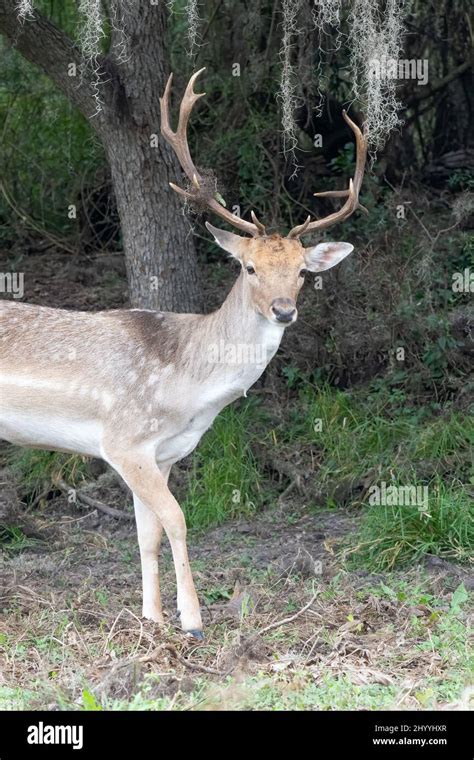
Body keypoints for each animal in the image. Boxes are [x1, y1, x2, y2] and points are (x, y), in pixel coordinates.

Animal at [0, 68, 368, 640]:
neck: (189, 392)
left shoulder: (164, 454)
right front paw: (192, 621)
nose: (284, 310)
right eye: (249, 268)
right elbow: (177, 519)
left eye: (303, 273)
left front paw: (151, 618)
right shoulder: (123, 440)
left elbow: (146, 533)